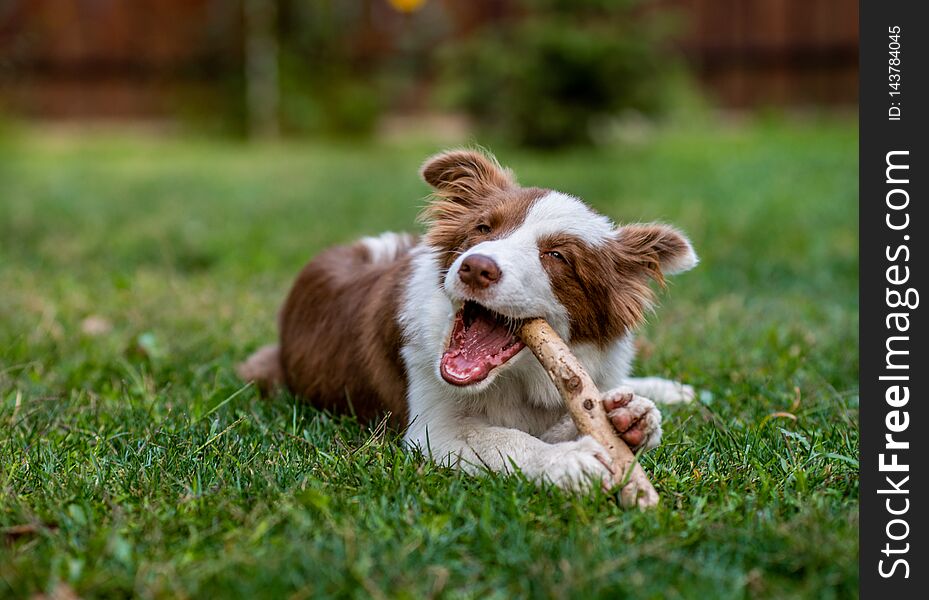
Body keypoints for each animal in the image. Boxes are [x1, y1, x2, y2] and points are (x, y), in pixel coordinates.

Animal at [239, 150, 696, 492]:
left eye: (557, 256)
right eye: (482, 228)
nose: (476, 267)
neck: (519, 381)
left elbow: (572, 415)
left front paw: (630, 420)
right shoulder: (433, 429)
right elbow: (505, 439)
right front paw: (568, 459)